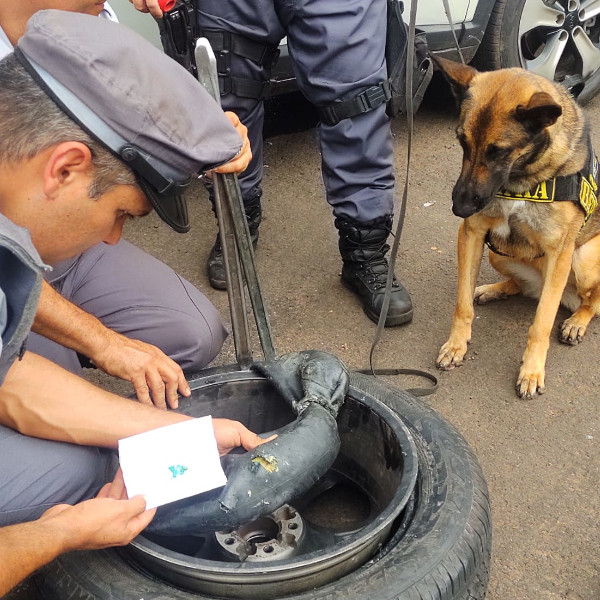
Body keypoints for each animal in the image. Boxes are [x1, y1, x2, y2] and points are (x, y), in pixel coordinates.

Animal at [432, 57, 600, 398]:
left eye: (498, 151)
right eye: (462, 142)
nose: (460, 208)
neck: (522, 178)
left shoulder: (560, 254)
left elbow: (542, 322)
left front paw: (531, 371)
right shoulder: (472, 235)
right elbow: (462, 303)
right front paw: (456, 345)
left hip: (584, 259)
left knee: (592, 302)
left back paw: (577, 320)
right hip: (497, 251)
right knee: (522, 286)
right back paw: (494, 289)